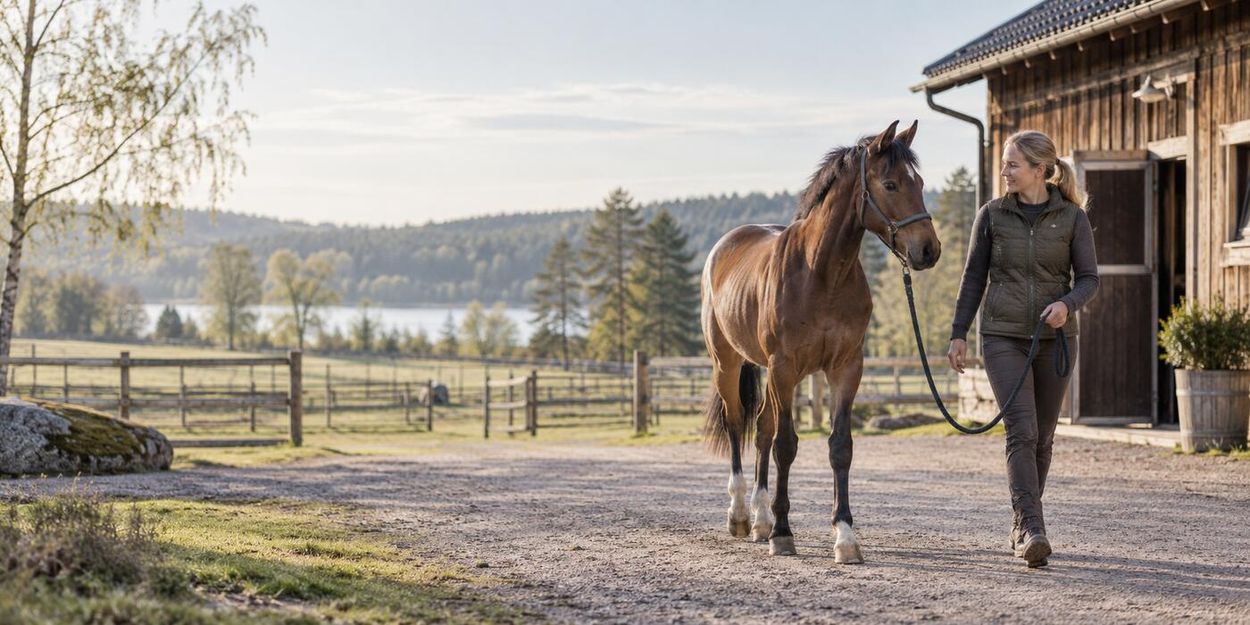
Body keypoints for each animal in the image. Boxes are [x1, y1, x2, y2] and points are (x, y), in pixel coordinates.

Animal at [700, 120, 940, 562]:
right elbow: (787, 445)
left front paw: (845, 536)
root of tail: (723, 247)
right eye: (891, 184)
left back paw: (760, 519)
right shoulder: (784, 368)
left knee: (761, 426)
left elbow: (839, 446)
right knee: (738, 423)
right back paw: (741, 515)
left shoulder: (846, 368)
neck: (821, 272)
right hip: (729, 363)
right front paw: (783, 533)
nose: (928, 250)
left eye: (918, 182)